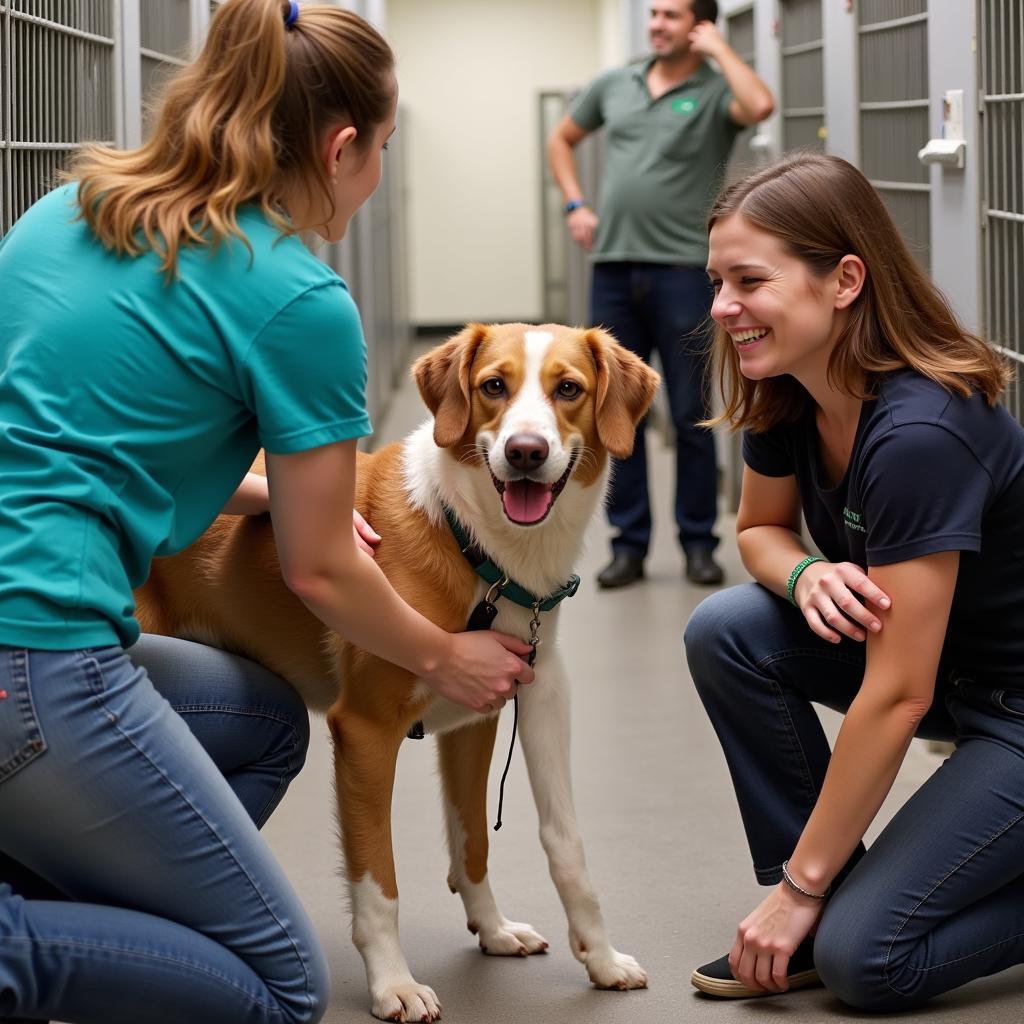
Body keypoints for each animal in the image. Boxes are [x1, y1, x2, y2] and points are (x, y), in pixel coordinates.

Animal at [134, 323, 655, 1019]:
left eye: (568, 389)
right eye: (494, 386)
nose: (525, 451)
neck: (478, 548)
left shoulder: (508, 707)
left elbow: (514, 842)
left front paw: (571, 950)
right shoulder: (365, 731)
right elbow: (378, 881)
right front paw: (393, 984)